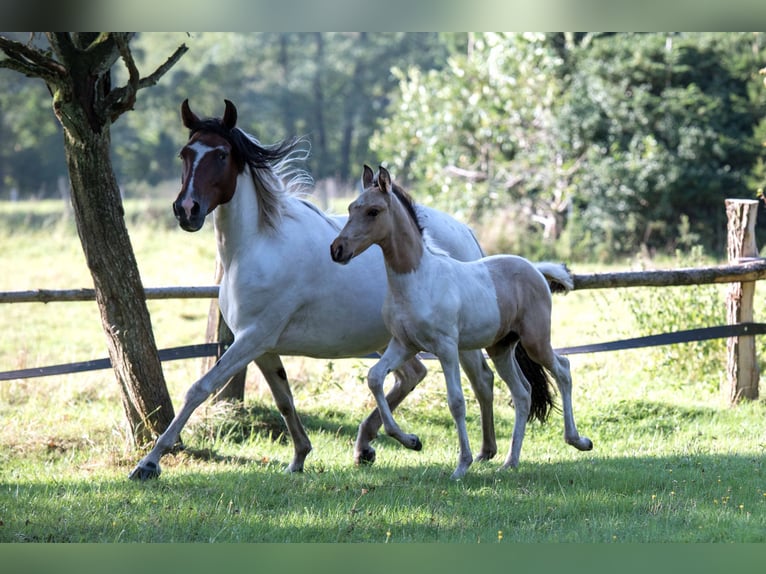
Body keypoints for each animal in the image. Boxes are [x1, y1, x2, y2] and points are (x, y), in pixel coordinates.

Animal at [127, 100, 498, 482]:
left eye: (221, 154)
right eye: (185, 153)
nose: (187, 210)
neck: (257, 246)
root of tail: (465, 231)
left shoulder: (252, 338)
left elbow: (198, 389)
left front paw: (148, 463)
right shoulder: (261, 346)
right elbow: (284, 399)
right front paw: (299, 457)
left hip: (456, 341)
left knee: (481, 379)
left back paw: (483, 452)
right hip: (397, 339)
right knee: (412, 376)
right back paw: (369, 446)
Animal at [332, 166, 592, 482]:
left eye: (373, 211)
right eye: (350, 208)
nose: (337, 249)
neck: (417, 279)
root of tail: (536, 270)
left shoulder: (445, 347)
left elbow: (455, 401)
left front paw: (461, 465)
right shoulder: (404, 344)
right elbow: (375, 378)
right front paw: (412, 441)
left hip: (535, 341)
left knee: (563, 369)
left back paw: (578, 441)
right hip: (500, 348)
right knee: (522, 393)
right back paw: (510, 461)